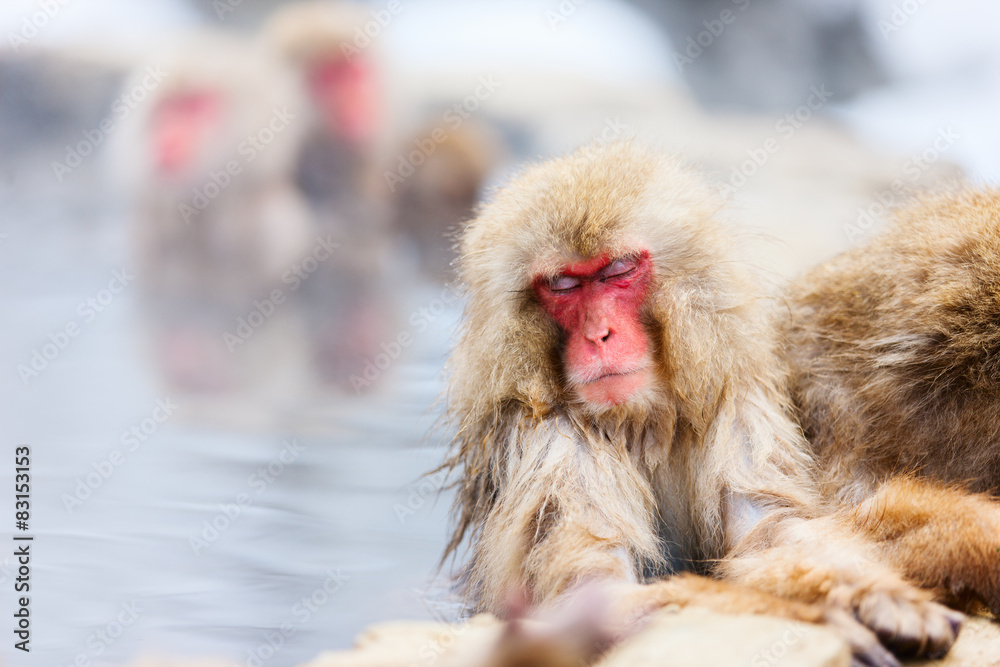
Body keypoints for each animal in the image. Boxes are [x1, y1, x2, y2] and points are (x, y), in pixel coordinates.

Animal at [437, 141, 963, 666]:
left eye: (618, 271)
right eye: (563, 285)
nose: (599, 335)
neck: (638, 421)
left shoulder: (735, 403)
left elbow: (771, 531)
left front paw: (876, 595)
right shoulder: (551, 442)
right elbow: (589, 594)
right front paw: (822, 620)